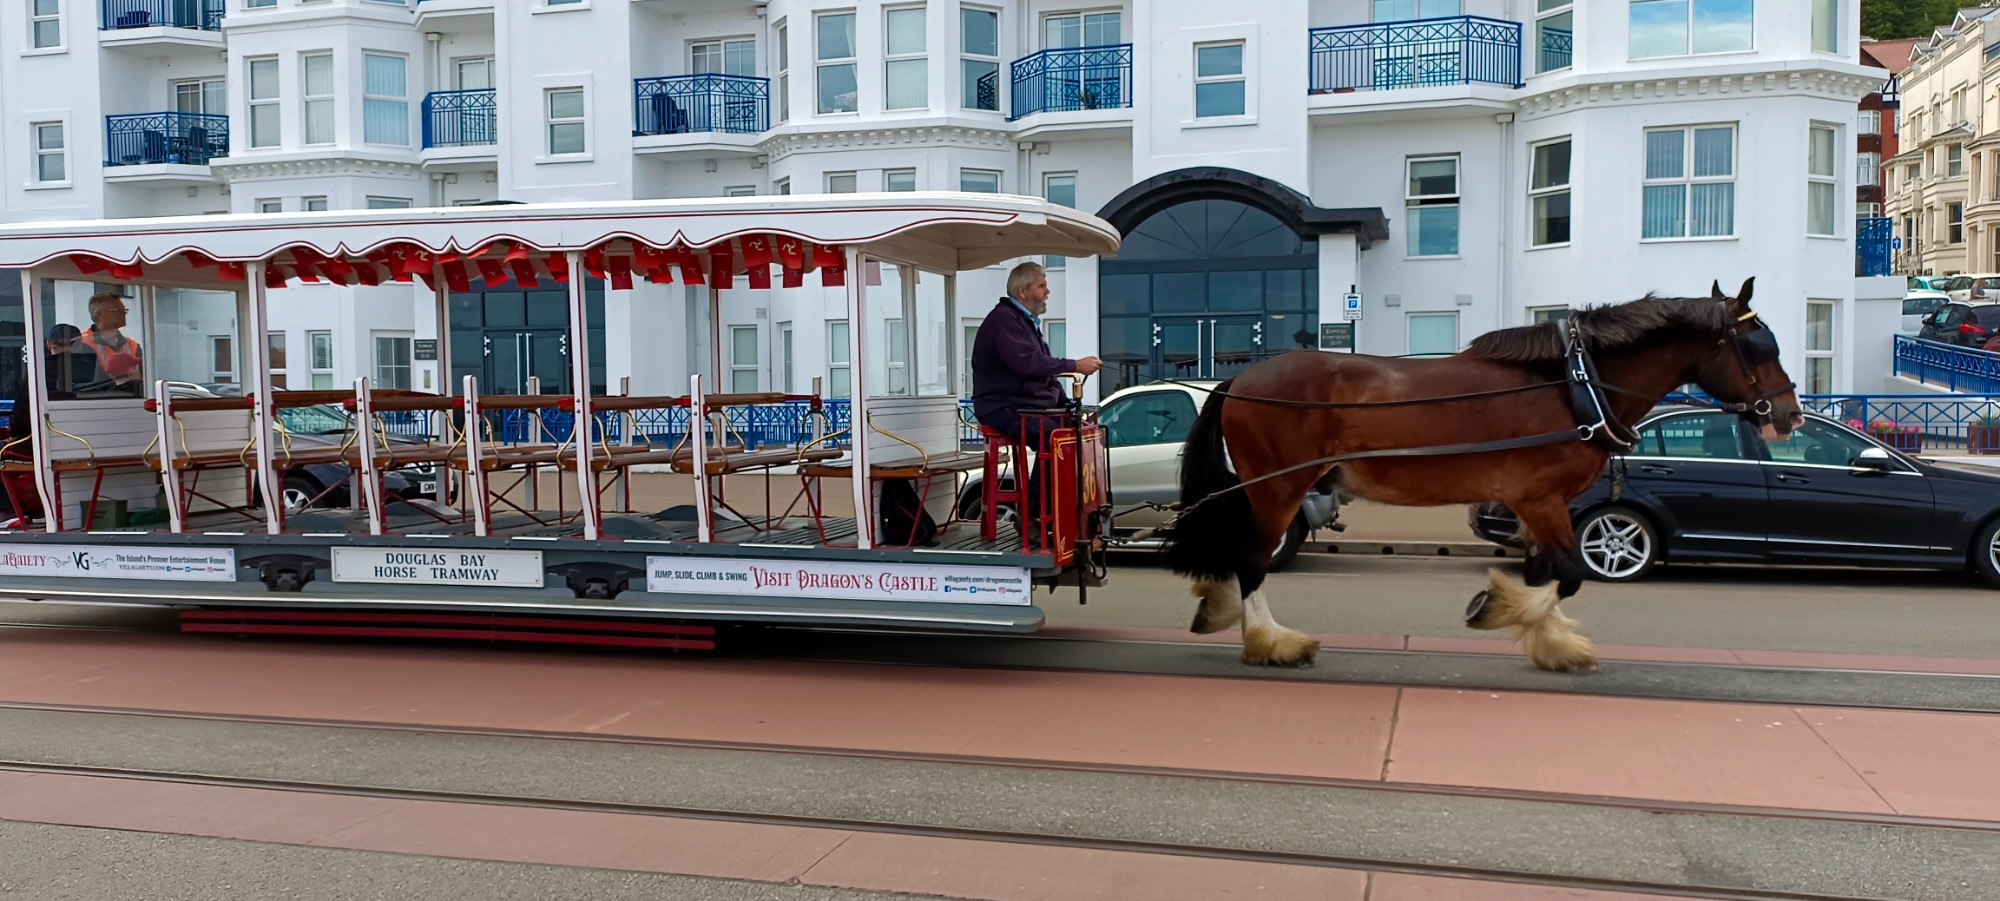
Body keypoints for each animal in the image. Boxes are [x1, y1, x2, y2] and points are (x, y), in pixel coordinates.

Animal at [1160, 278, 1800, 672]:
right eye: (1759, 346)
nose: (1789, 414)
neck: (1573, 384)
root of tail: (1241, 379)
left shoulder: (1537, 506)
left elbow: (1547, 571)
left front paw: (1548, 639)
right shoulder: (1540, 498)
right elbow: (1569, 574)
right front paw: (1501, 613)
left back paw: (1224, 611)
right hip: (1279, 487)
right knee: (1252, 558)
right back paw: (1270, 641)